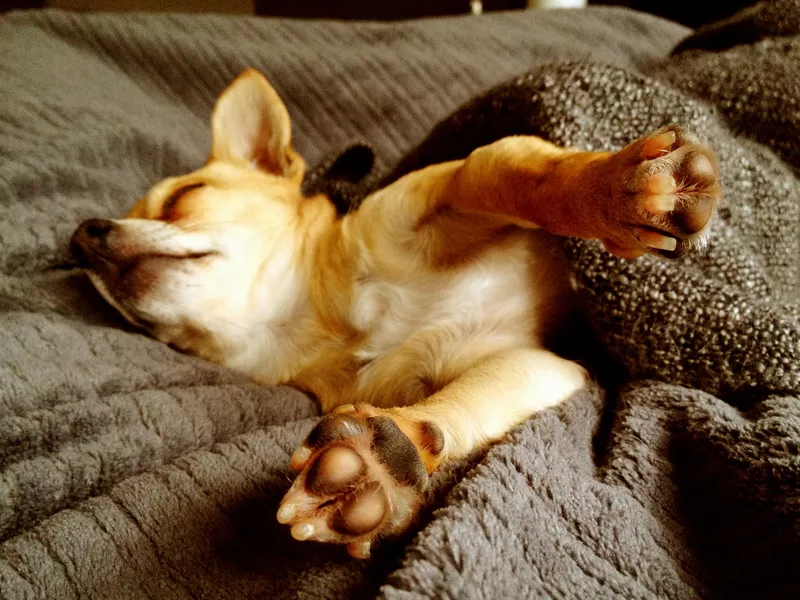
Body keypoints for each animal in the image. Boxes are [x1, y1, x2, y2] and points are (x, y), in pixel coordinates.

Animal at [70, 69, 720, 556]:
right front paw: (389, 459)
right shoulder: (540, 367)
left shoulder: (446, 189)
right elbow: (460, 408)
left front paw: (610, 187)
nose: (81, 238)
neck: (331, 319)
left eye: (185, 198)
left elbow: (508, 171)